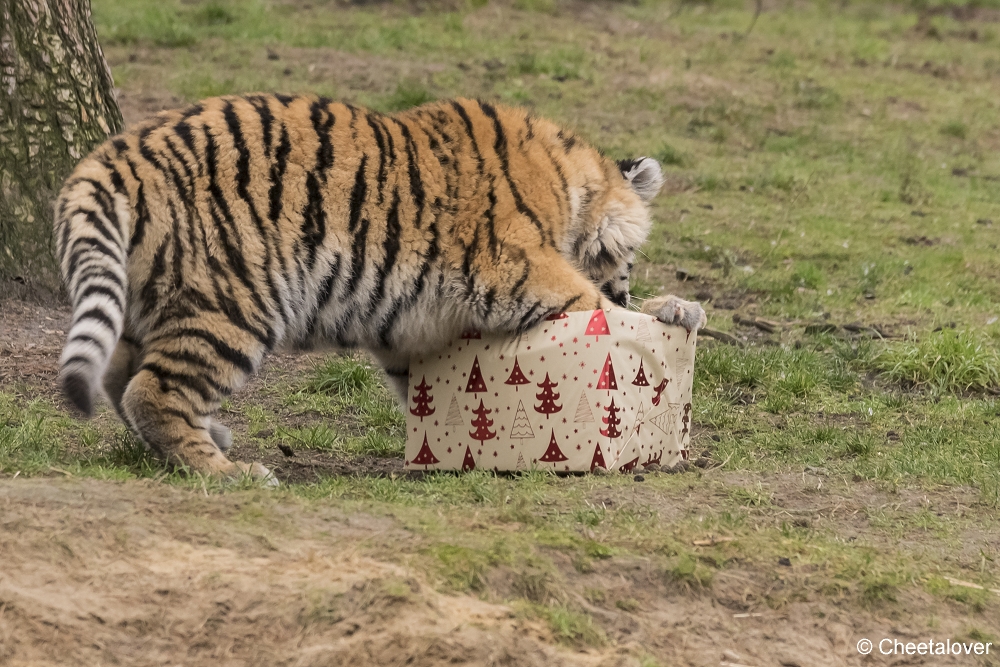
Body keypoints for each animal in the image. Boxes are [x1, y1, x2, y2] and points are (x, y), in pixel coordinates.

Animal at [52, 94, 704, 482]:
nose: (628, 287)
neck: (569, 189)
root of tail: (109, 159)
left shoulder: (411, 332)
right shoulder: (521, 268)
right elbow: (594, 305)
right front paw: (665, 311)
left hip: (153, 300)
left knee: (119, 375)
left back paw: (201, 439)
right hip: (235, 300)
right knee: (152, 391)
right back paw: (231, 473)